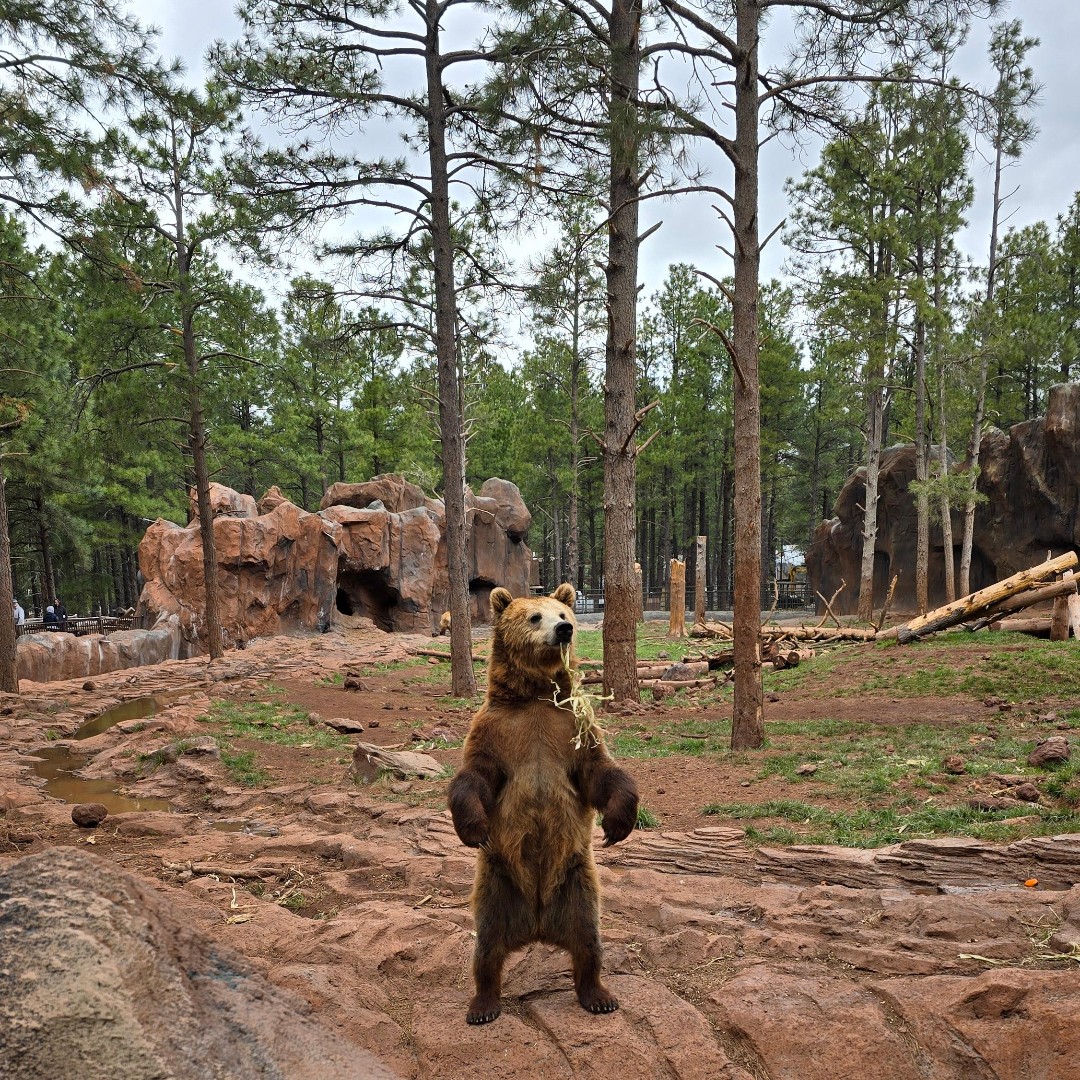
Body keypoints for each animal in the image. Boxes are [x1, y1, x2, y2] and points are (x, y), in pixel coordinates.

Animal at [444, 587, 635, 1023]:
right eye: (534, 616)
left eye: (563, 613)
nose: (564, 630)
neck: (534, 697)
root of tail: (537, 926)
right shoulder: (495, 731)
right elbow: (475, 777)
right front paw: (474, 829)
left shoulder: (574, 726)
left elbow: (600, 772)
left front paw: (618, 823)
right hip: (497, 883)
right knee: (486, 947)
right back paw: (483, 1005)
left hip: (577, 882)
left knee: (588, 940)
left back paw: (599, 995)